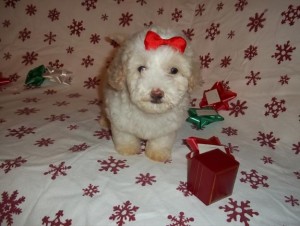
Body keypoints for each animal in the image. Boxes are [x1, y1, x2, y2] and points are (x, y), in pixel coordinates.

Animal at [103, 26, 196, 162]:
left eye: (174, 70)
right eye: (141, 68)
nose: (157, 93)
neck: (150, 113)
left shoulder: (168, 127)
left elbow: (162, 140)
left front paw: (158, 153)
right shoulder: (119, 118)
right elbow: (125, 135)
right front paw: (128, 148)